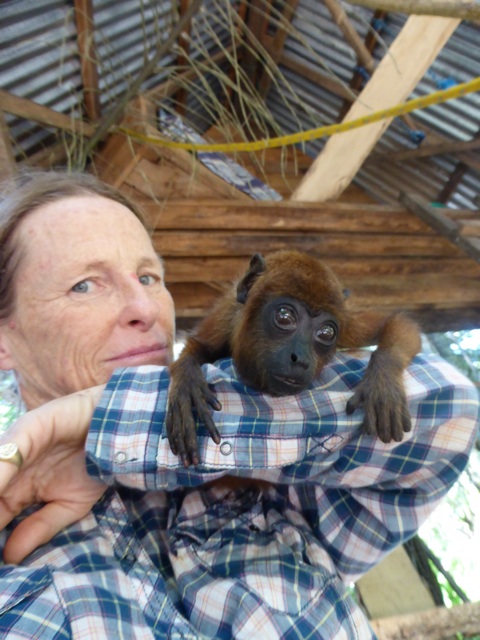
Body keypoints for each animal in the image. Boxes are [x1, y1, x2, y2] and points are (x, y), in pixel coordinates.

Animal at [166, 250, 421, 467]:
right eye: (285, 317)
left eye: (326, 333)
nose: (301, 360)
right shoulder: (225, 318)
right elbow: (197, 347)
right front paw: (186, 382)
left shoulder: (349, 324)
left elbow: (393, 322)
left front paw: (383, 382)